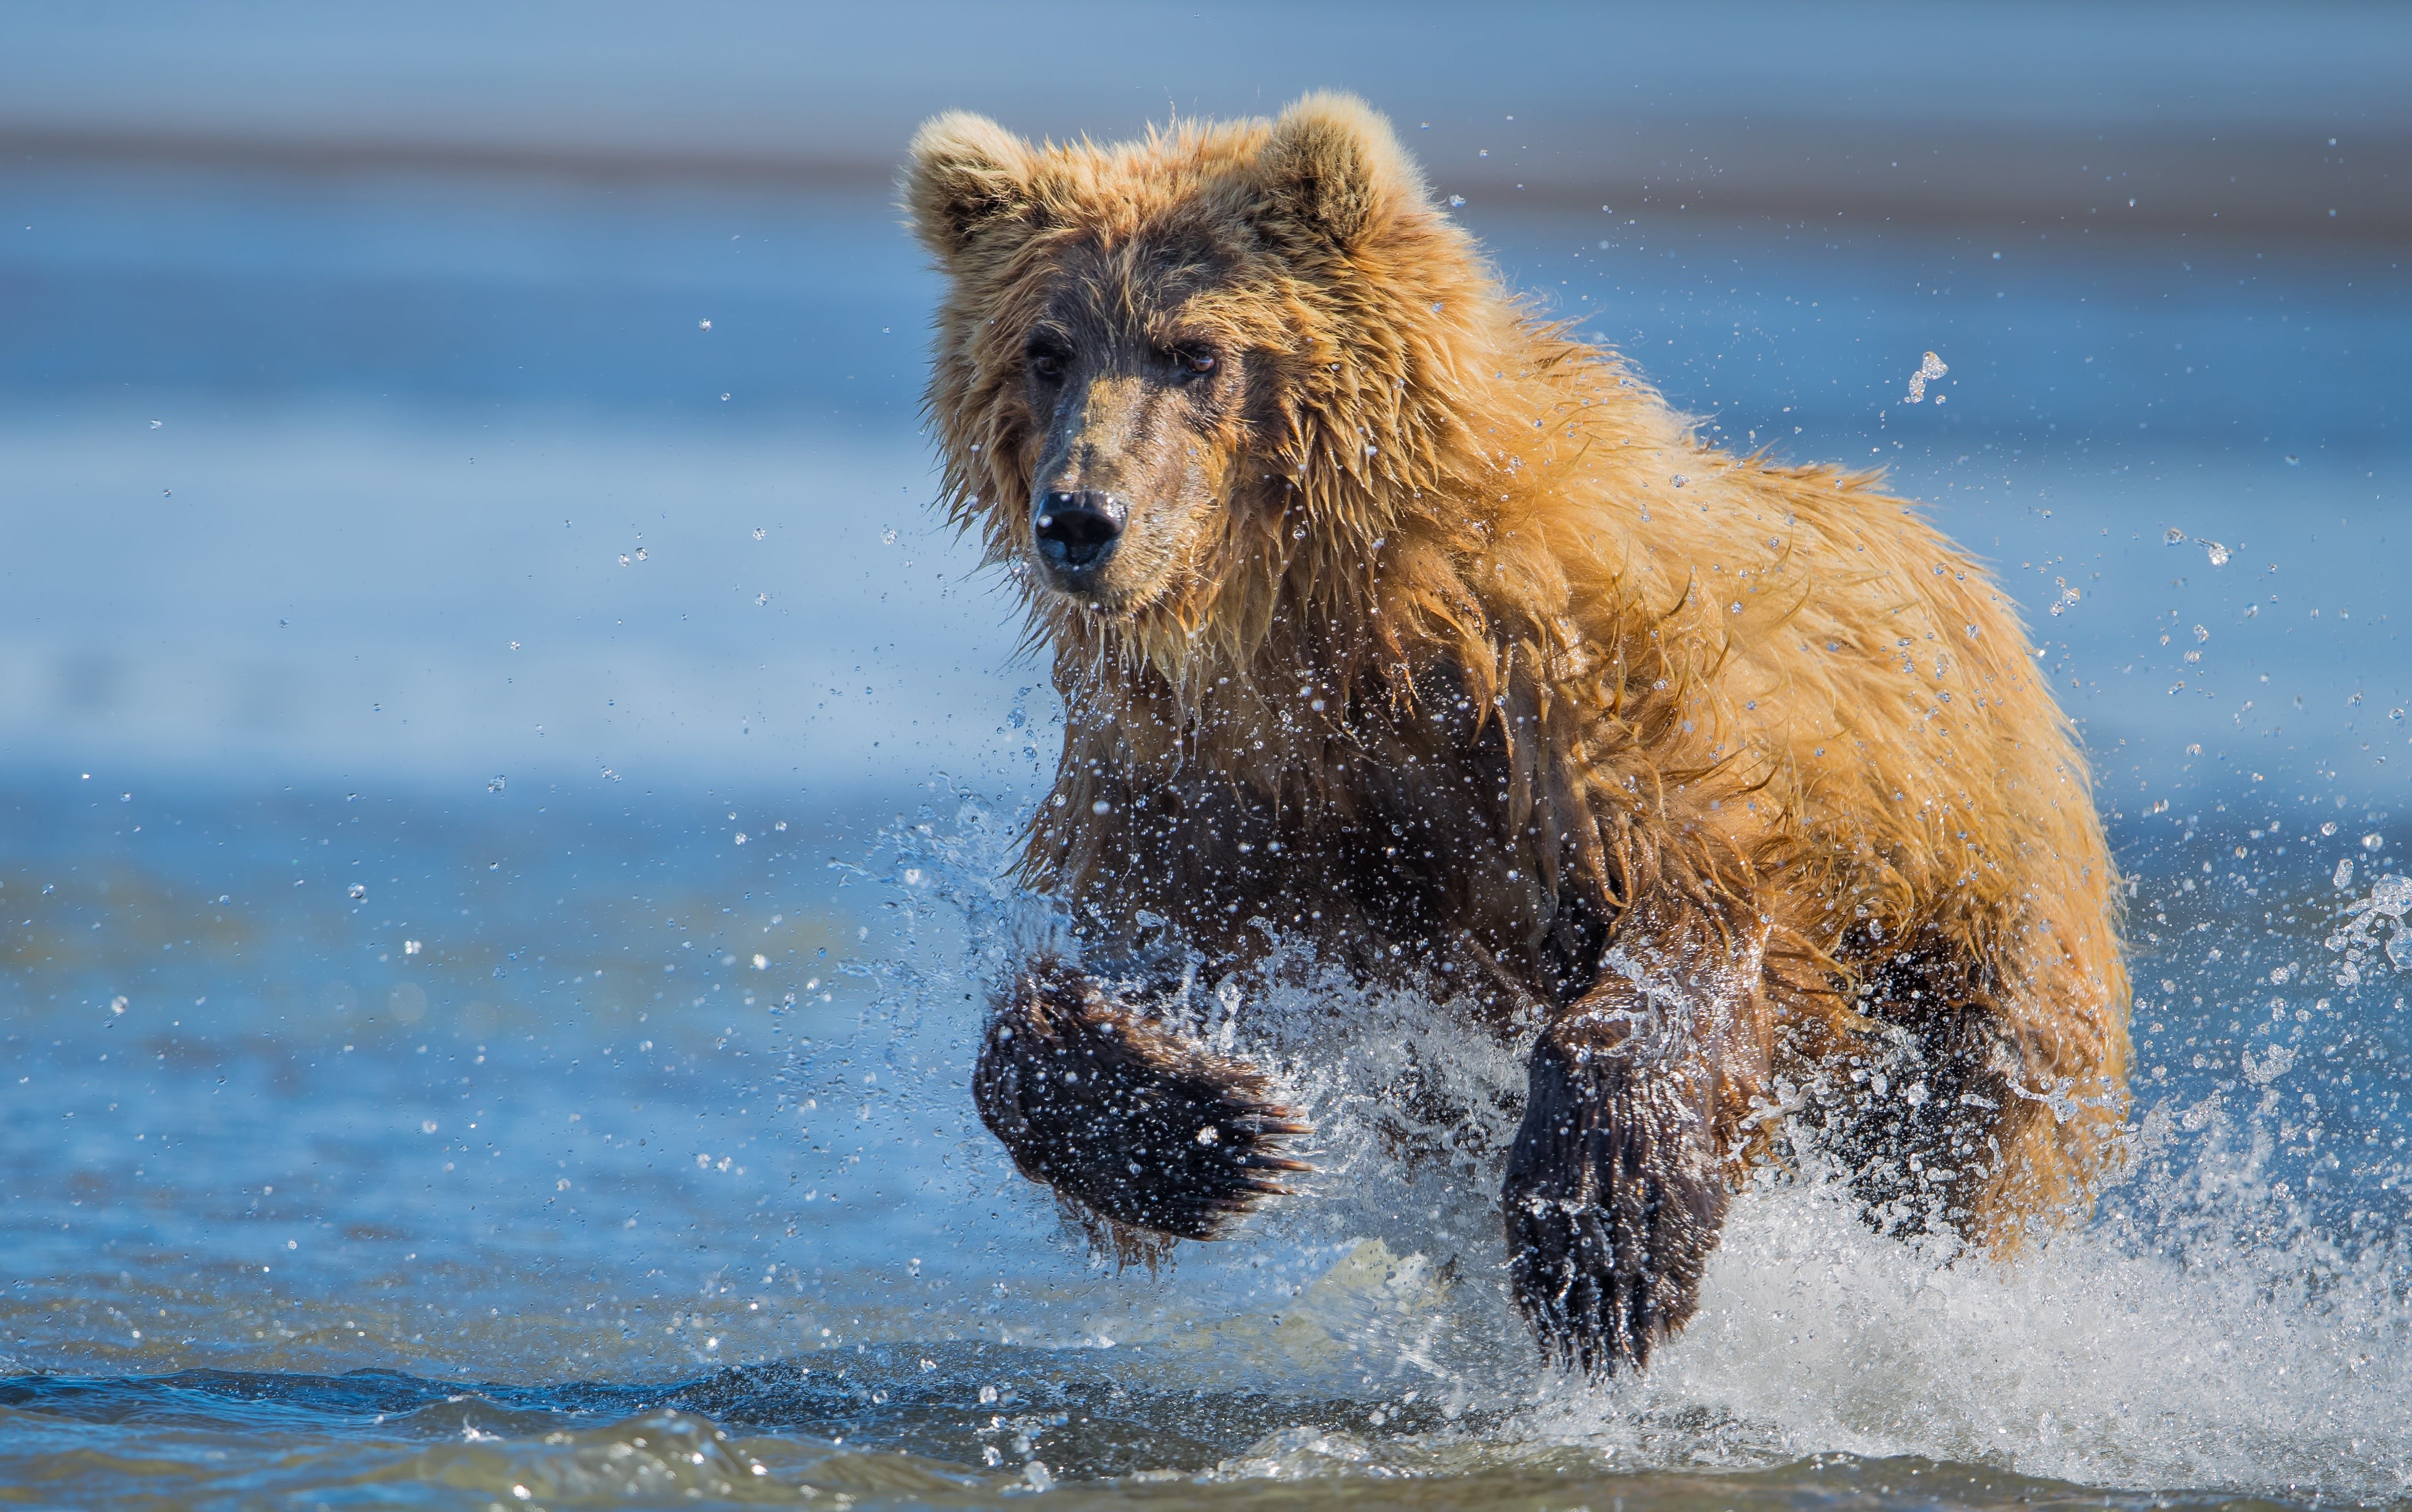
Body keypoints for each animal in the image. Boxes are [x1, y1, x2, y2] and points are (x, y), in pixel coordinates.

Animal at [905, 94, 2129, 1376]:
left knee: (1978, 1134)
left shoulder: (1589, 713)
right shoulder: (1219, 794)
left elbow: (1698, 913)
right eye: (1045, 348)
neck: (1335, 629)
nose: (1082, 518)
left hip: (1982, 917)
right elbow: (1111, 973)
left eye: (1193, 350)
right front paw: (1211, 1129)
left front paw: (1606, 1231)